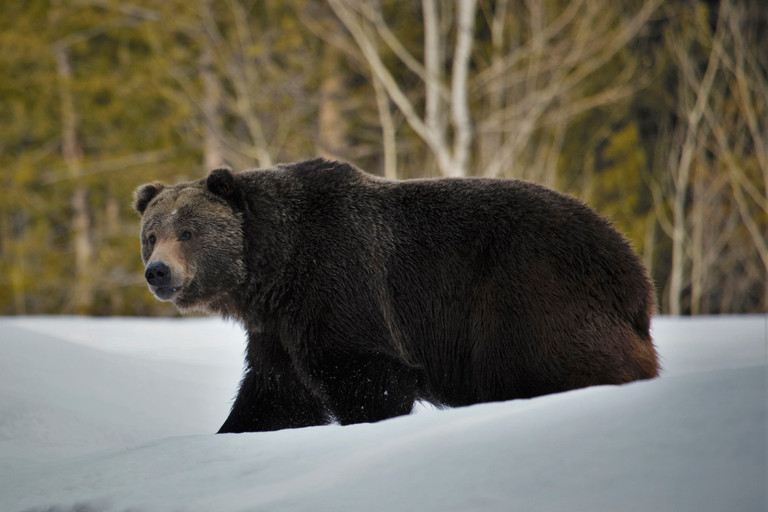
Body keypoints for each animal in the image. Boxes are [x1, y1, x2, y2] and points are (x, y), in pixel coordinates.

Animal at [133, 158, 659, 433]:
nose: (157, 272)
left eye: (188, 232)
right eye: (151, 234)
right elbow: (274, 395)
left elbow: (368, 376)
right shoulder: (278, 329)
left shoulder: (339, 282)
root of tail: (634, 272)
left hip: (530, 294)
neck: (273, 271)